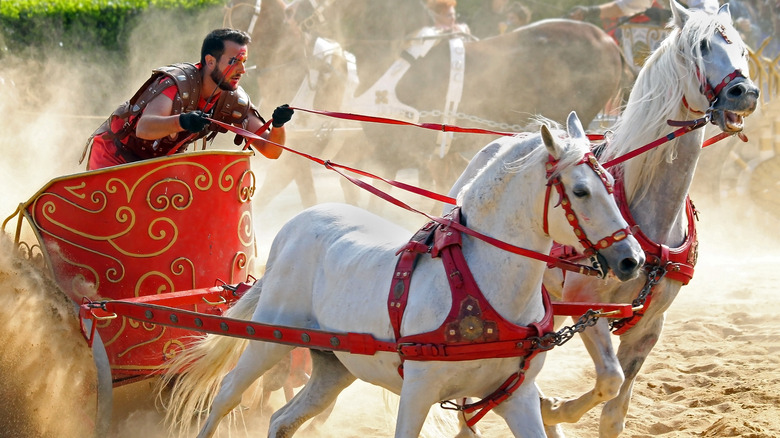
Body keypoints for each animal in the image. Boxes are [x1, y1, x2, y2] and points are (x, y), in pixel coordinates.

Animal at [161, 111, 644, 436]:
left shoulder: (516, 397)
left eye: (610, 183)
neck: (482, 285)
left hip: (334, 365)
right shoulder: (417, 393)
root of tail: (294, 227)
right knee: (226, 395)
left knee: (283, 419)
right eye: (580, 191)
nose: (632, 259)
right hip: (269, 338)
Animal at [448, 1, 760, 436]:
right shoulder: (586, 309)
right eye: (701, 47)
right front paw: (555, 409)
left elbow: (617, 407)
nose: (743, 93)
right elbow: (609, 378)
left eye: (743, 49)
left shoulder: (649, 328)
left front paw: (554, 410)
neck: (647, 211)